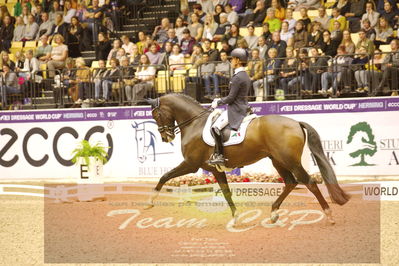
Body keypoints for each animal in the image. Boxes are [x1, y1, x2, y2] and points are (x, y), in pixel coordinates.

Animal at [145, 93, 350, 224]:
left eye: (156, 114)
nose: (165, 137)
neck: (195, 123)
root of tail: (296, 123)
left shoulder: (191, 164)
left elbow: (165, 176)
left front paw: (150, 201)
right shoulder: (214, 170)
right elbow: (226, 192)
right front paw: (236, 217)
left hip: (290, 161)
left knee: (309, 183)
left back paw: (329, 215)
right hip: (277, 160)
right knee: (291, 182)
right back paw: (274, 213)